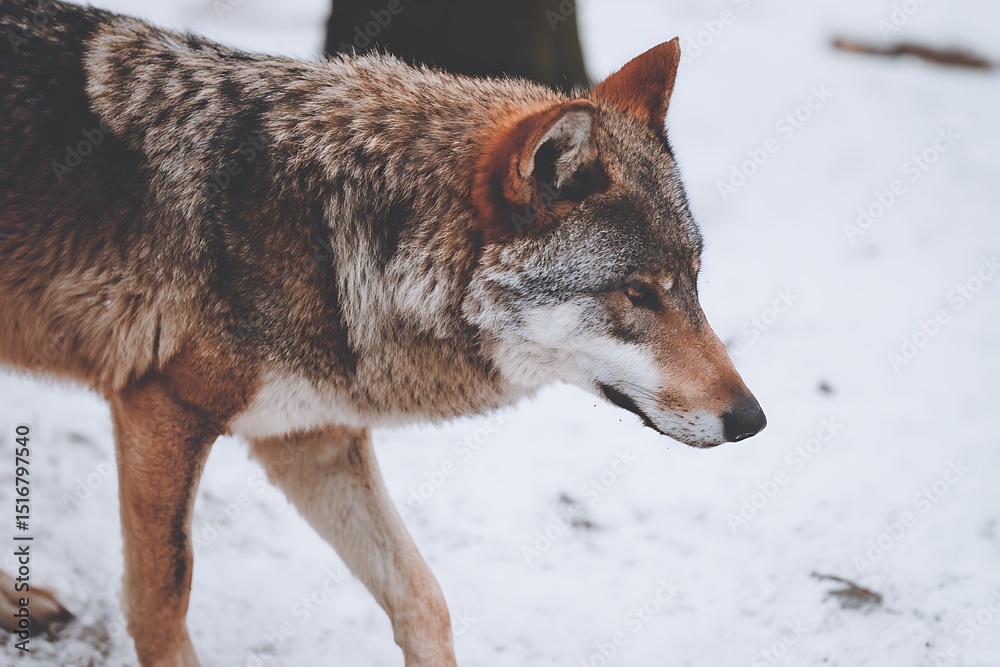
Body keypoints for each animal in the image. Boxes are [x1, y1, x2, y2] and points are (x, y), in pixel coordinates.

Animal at [0, 0, 766, 664]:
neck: (331, 239)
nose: (753, 420)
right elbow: (162, 602)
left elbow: (422, 597)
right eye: (637, 292)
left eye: (693, 280)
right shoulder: (162, 408)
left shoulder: (310, 436)